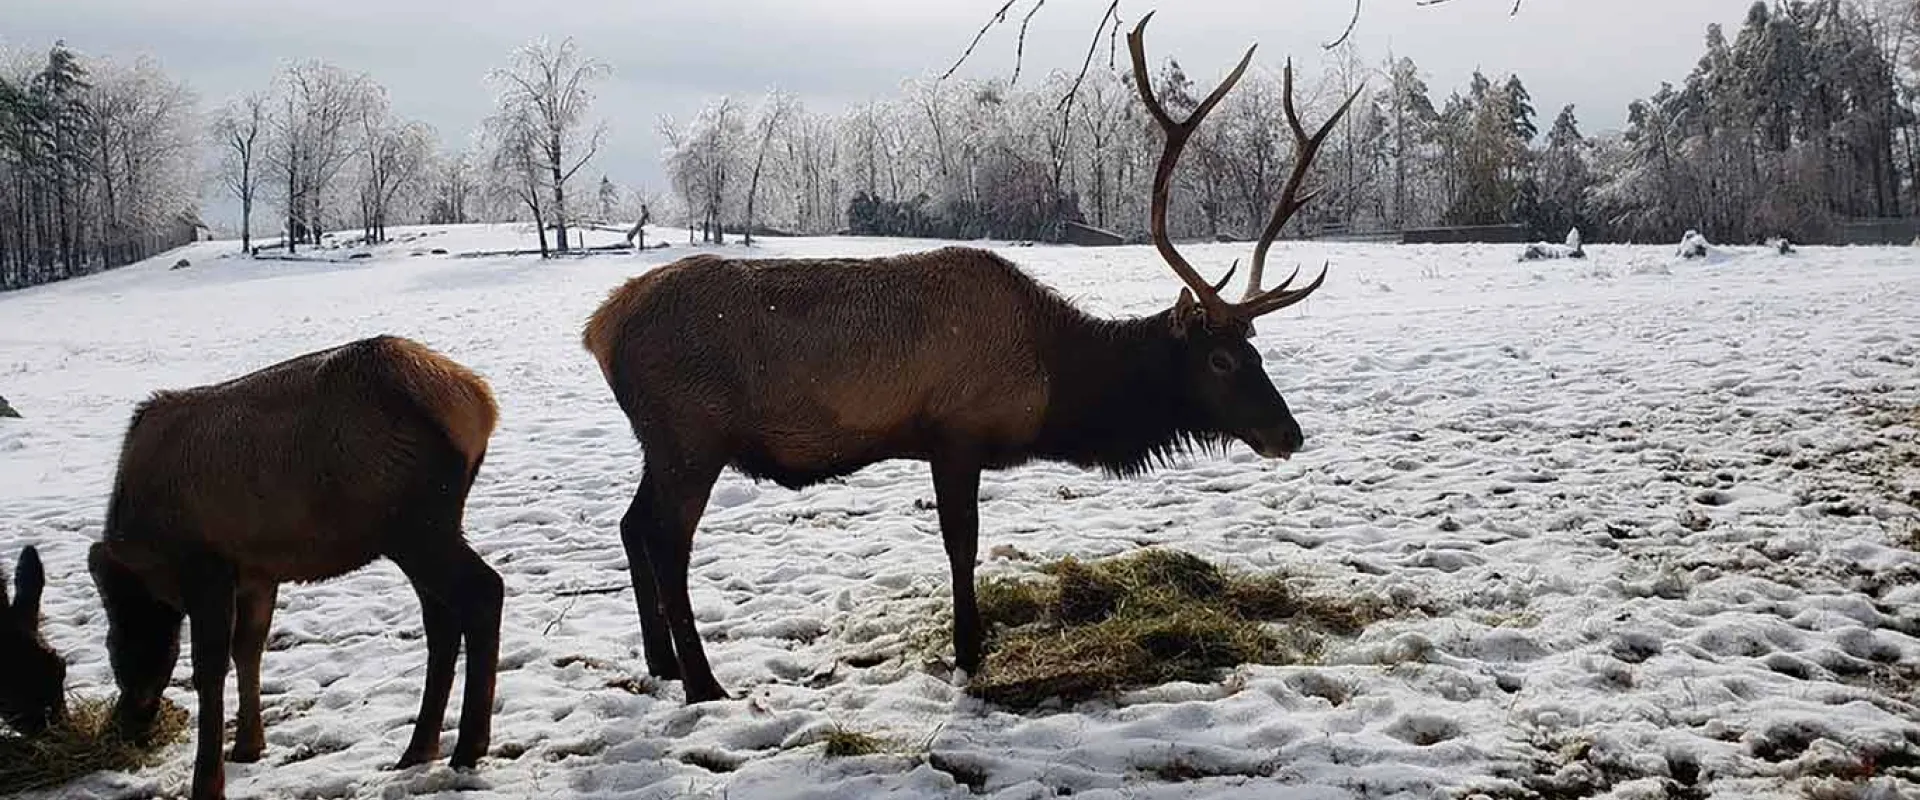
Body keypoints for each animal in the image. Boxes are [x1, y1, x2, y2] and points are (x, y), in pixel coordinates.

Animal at [0, 335, 504, 800]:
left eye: (114, 647)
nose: (128, 725)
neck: (149, 554)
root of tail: (481, 403)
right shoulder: (257, 573)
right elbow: (249, 648)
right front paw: (248, 746)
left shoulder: (207, 567)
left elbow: (209, 669)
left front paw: (208, 782)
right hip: (414, 533)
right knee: (441, 620)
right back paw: (419, 748)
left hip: (417, 525)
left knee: (484, 591)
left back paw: (467, 748)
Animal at [579, 12, 1358, 704]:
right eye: (1221, 360)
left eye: (1254, 349)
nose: (1289, 433)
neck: (1052, 381)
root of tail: (598, 327)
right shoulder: (955, 432)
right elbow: (963, 543)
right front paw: (968, 652)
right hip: (691, 436)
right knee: (667, 542)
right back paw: (704, 683)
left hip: (661, 440)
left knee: (632, 525)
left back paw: (664, 665)